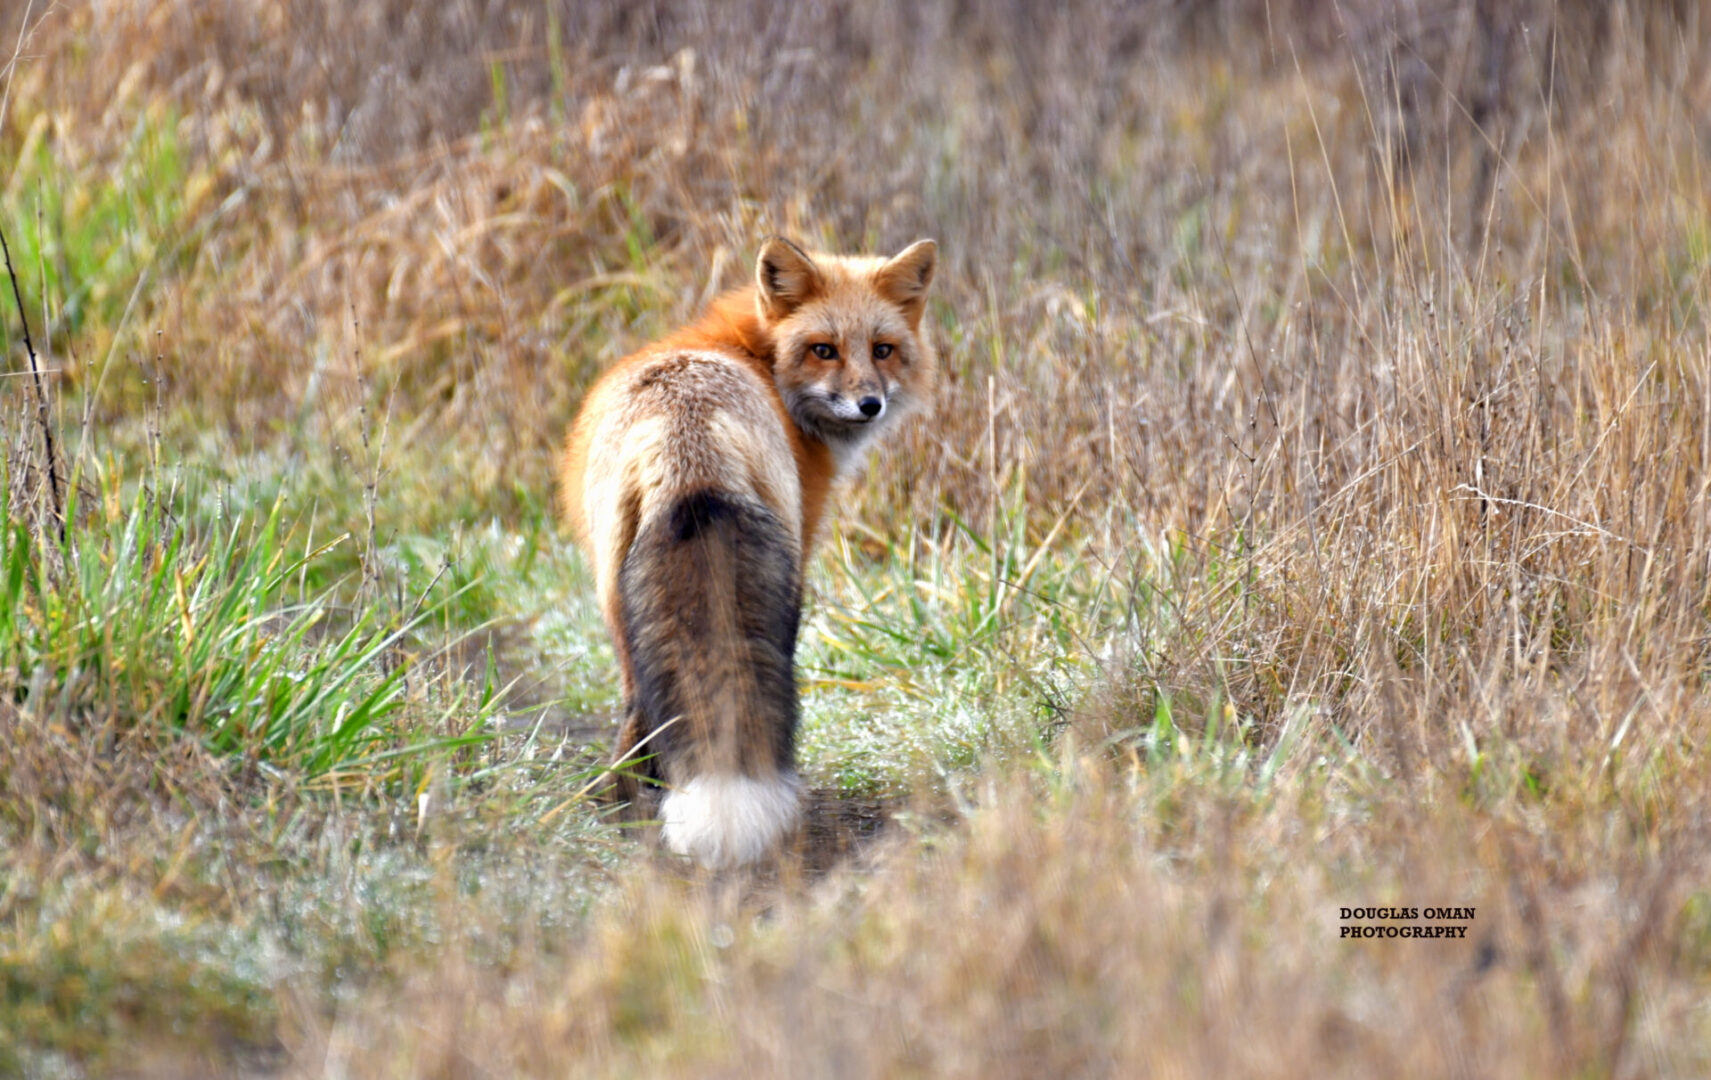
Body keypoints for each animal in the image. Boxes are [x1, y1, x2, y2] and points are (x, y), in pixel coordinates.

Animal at [557, 237, 937, 869]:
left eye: (882, 350)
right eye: (824, 350)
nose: (869, 404)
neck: (757, 357)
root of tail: (687, 439)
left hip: (615, 594)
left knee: (638, 701)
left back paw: (625, 807)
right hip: (780, 583)